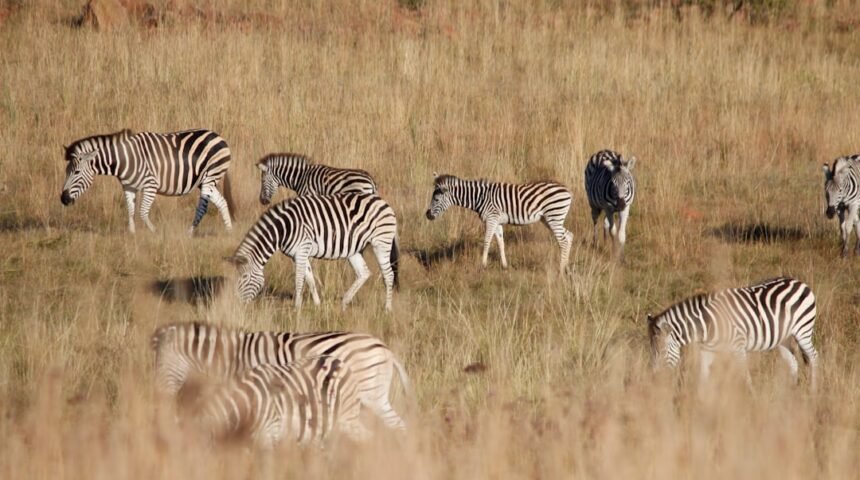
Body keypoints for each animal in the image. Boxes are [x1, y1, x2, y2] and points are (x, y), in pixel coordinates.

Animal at [60, 129, 233, 234]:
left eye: (76, 172)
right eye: (66, 172)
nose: (63, 199)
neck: (124, 159)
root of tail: (219, 136)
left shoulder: (150, 185)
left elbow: (142, 212)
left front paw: (155, 232)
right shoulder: (128, 186)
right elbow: (131, 210)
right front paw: (132, 234)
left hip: (211, 176)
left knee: (203, 207)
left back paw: (189, 233)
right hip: (204, 181)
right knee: (222, 202)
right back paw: (229, 231)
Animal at [151, 321, 412, 431]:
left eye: (161, 363)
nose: (158, 397)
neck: (230, 357)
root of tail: (385, 348)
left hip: (370, 396)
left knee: (399, 426)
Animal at [227, 192, 399, 311]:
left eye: (244, 278)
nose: (236, 306)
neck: (283, 228)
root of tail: (384, 202)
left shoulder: (302, 250)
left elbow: (299, 280)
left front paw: (296, 309)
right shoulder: (298, 255)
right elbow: (310, 279)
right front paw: (317, 305)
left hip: (381, 243)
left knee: (388, 274)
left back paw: (387, 308)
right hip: (354, 249)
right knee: (364, 273)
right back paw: (344, 302)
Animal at [424, 173, 573, 271]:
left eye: (436, 200)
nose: (427, 215)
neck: (480, 198)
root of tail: (567, 190)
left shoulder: (491, 219)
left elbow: (486, 241)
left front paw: (482, 265)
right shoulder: (497, 222)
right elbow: (501, 243)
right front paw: (505, 266)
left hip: (554, 216)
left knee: (563, 241)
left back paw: (560, 270)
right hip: (549, 218)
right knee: (569, 235)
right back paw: (566, 267)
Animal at [647, 277, 819, 389]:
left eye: (662, 351)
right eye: (652, 351)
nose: (655, 380)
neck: (708, 324)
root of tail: (799, 282)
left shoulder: (738, 347)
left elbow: (745, 376)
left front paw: (752, 399)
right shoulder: (707, 350)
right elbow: (703, 376)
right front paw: (700, 403)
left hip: (803, 330)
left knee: (814, 356)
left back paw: (813, 392)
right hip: (783, 338)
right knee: (792, 361)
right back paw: (791, 394)